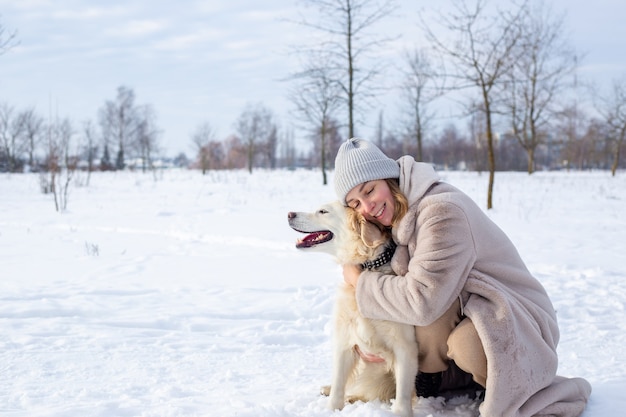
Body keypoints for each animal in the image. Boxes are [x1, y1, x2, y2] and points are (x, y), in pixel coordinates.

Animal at [288, 200, 420, 414]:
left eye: (323, 211)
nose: (289, 214)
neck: (368, 265)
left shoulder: (405, 347)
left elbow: (402, 395)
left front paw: (400, 412)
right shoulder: (345, 341)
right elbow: (339, 384)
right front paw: (332, 409)